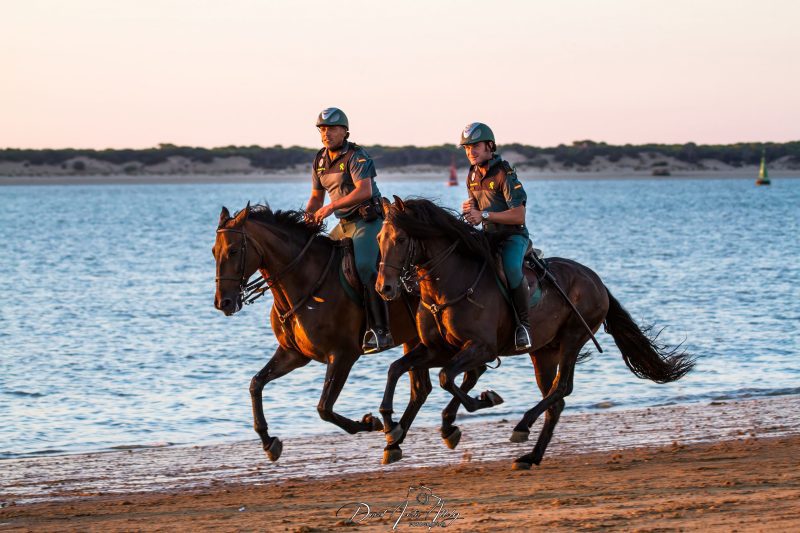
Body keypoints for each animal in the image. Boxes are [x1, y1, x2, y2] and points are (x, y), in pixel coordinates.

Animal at [213, 203, 428, 462]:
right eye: (214, 252)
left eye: (233, 251)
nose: (222, 302)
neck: (305, 282)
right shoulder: (293, 354)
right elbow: (256, 384)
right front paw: (268, 441)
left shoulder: (342, 356)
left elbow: (324, 408)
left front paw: (370, 422)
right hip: (414, 338)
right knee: (421, 390)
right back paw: (395, 443)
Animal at [375, 197, 695, 469]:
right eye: (379, 239)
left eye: (400, 239)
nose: (384, 288)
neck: (451, 283)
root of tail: (596, 280)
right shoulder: (438, 349)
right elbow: (397, 369)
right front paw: (392, 427)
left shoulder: (481, 348)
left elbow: (446, 378)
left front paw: (482, 402)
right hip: (543, 353)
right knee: (556, 400)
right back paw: (531, 456)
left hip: (572, 340)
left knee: (562, 388)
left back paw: (522, 426)